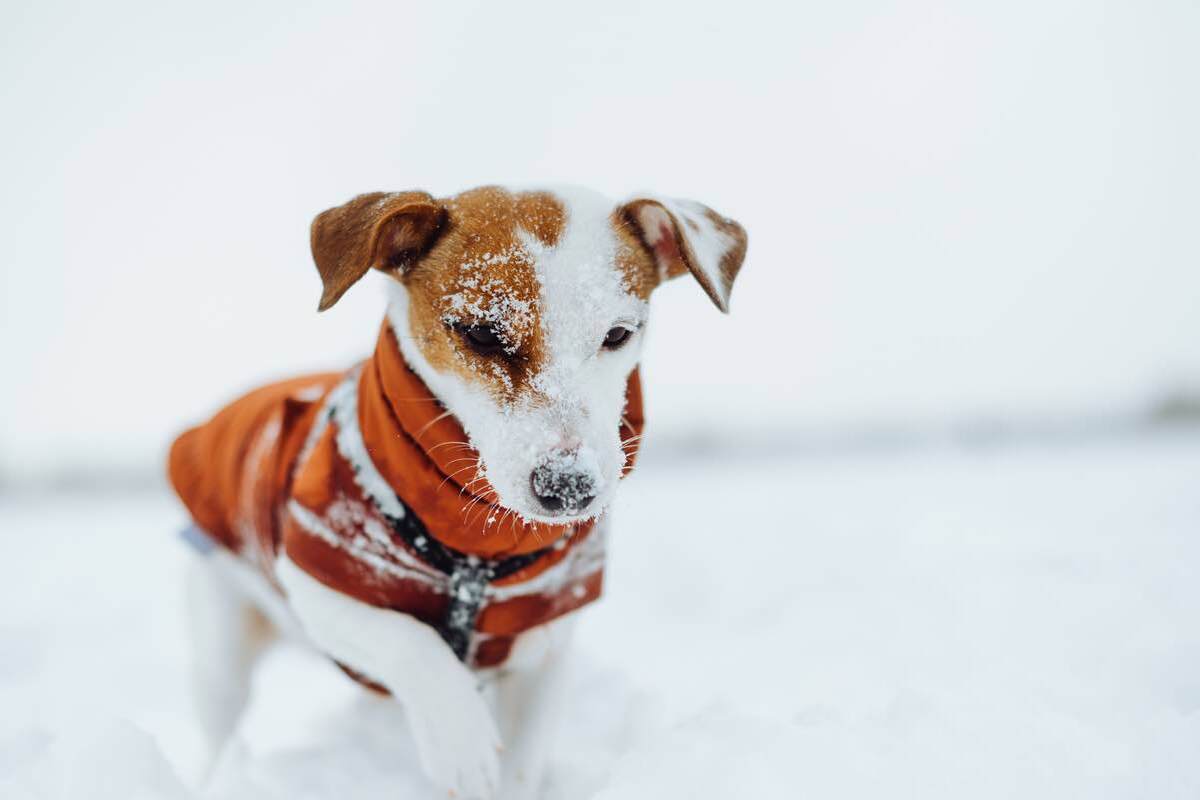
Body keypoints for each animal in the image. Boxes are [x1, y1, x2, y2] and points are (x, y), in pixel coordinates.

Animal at [170, 184, 744, 796]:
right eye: (482, 334)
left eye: (618, 334)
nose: (570, 488)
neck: (477, 545)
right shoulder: (324, 576)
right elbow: (413, 644)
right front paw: (460, 743)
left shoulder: (544, 638)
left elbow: (522, 762)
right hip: (221, 636)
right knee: (220, 719)